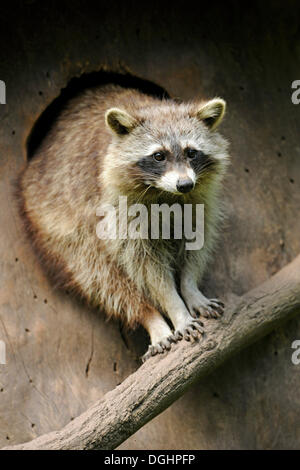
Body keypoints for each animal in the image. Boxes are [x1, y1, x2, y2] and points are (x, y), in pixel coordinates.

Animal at [18, 83, 230, 360]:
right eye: (159, 156)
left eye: (191, 153)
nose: (184, 184)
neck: (166, 194)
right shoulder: (122, 210)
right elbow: (147, 269)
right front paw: (175, 309)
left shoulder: (200, 201)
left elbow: (197, 243)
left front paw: (189, 287)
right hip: (57, 223)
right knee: (100, 274)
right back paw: (150, 316)